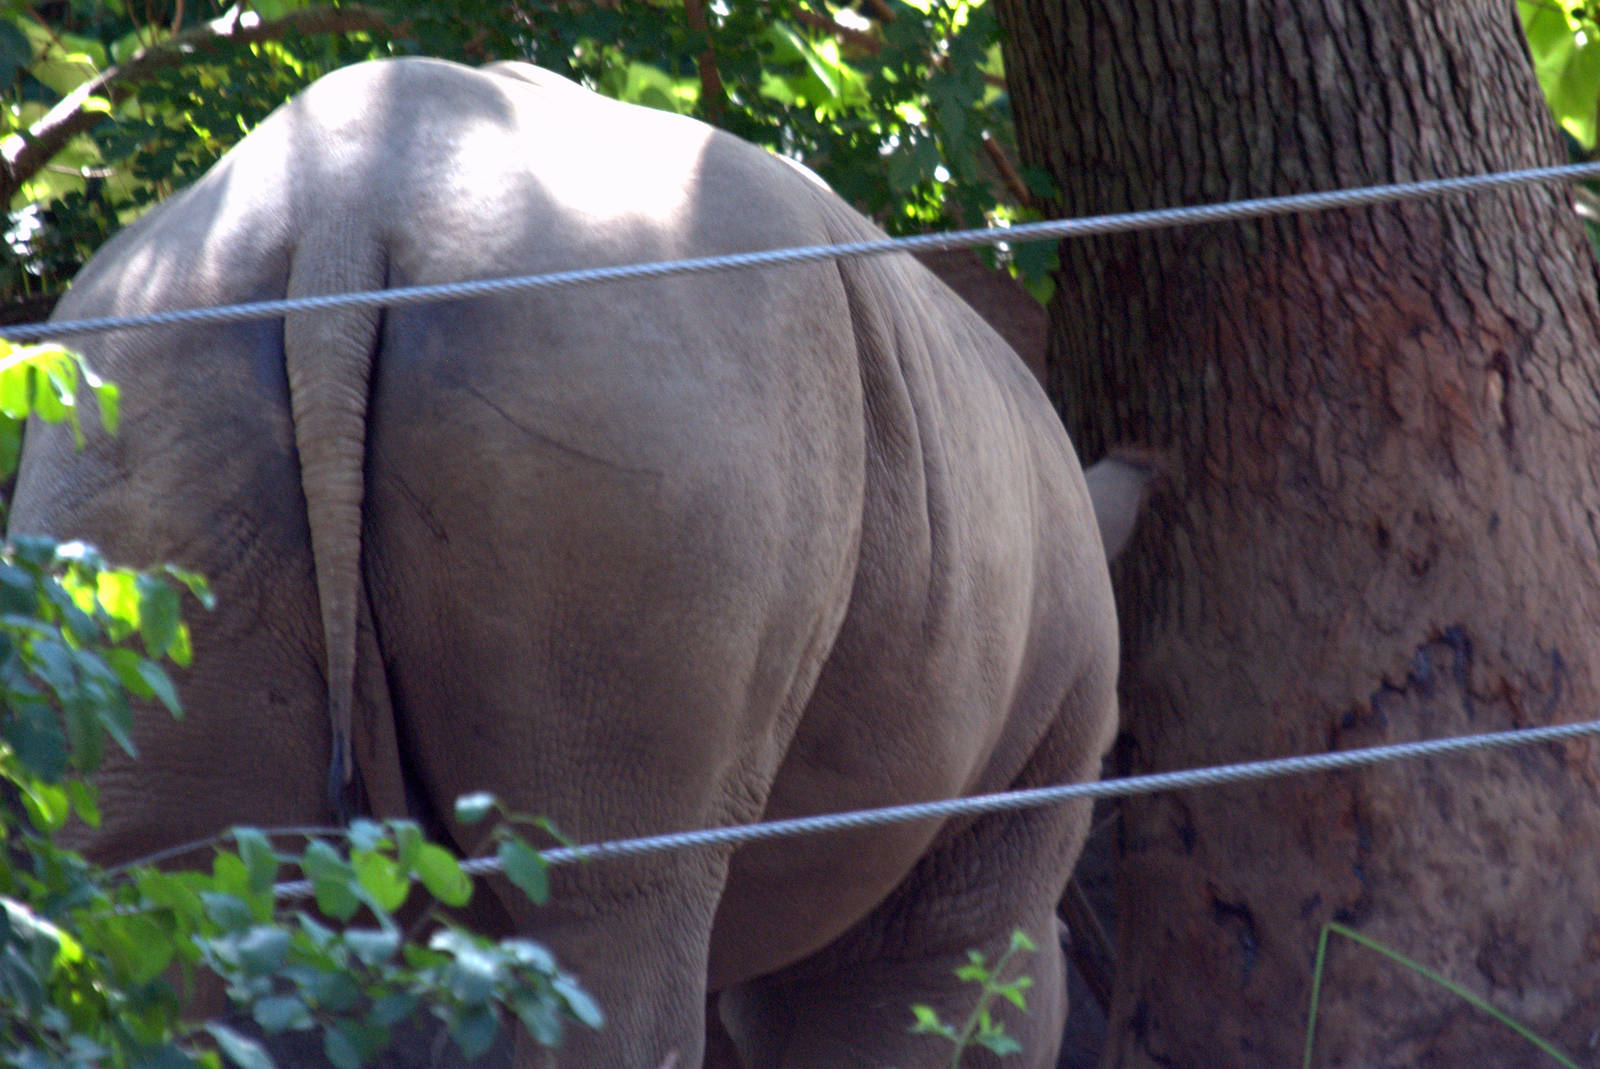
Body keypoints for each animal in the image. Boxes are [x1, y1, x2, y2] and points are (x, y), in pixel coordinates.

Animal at [10, 58, 1131, 1068]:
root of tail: (340, 218)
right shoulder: (989, 850)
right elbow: (916, 1001)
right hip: (642, 391)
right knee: (614, 898)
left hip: (148, 365)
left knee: (183, 888)